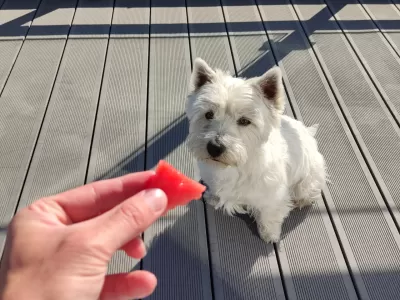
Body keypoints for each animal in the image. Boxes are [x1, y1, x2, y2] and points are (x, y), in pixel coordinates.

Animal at [183, 57, 326, 243]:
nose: (214, 148)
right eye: (208, 114)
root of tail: (308, 133)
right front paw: (213, 197)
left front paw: (270, 234)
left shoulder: (273, 195)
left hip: (309, 177)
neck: (235, 166)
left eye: (244, 121)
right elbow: (216, 190)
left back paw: (301, 201)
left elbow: (269, 214)